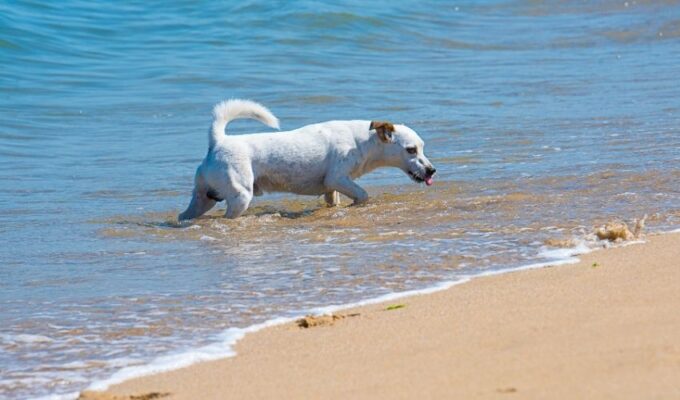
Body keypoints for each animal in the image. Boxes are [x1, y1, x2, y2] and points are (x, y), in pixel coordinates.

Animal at [179, 99, 436, 220]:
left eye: (422, 148)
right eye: (411, 150)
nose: (432, 171)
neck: (362, 141)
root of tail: (218, 141)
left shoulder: (332, 187)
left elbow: (333, 201)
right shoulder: (337, 179)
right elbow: (363, 195)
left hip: (205, 198)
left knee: (184, 215)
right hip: (240, 196)